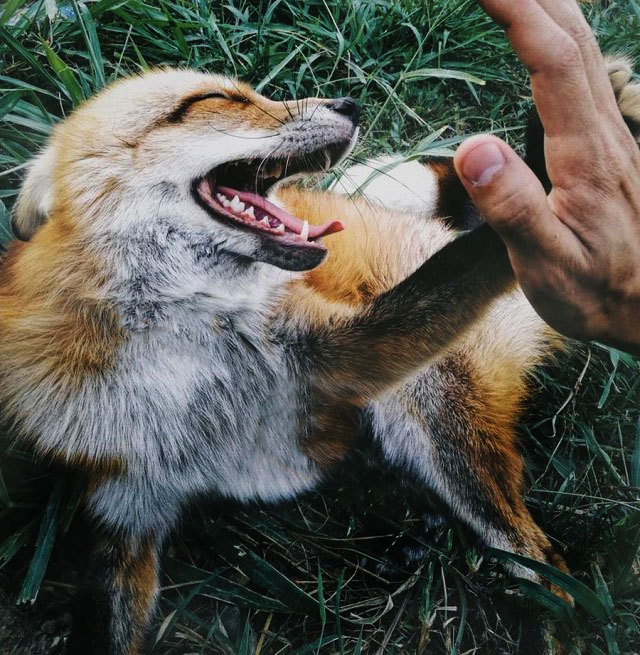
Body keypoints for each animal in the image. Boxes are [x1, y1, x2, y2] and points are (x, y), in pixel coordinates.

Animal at [2, 57, 639, 654]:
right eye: (213, 99)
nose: (350, 102)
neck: (186, 359)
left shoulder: (339, 353)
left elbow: (464, 264)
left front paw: (540, 201)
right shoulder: (126, 498)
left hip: (434, 414)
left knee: (545, 567)